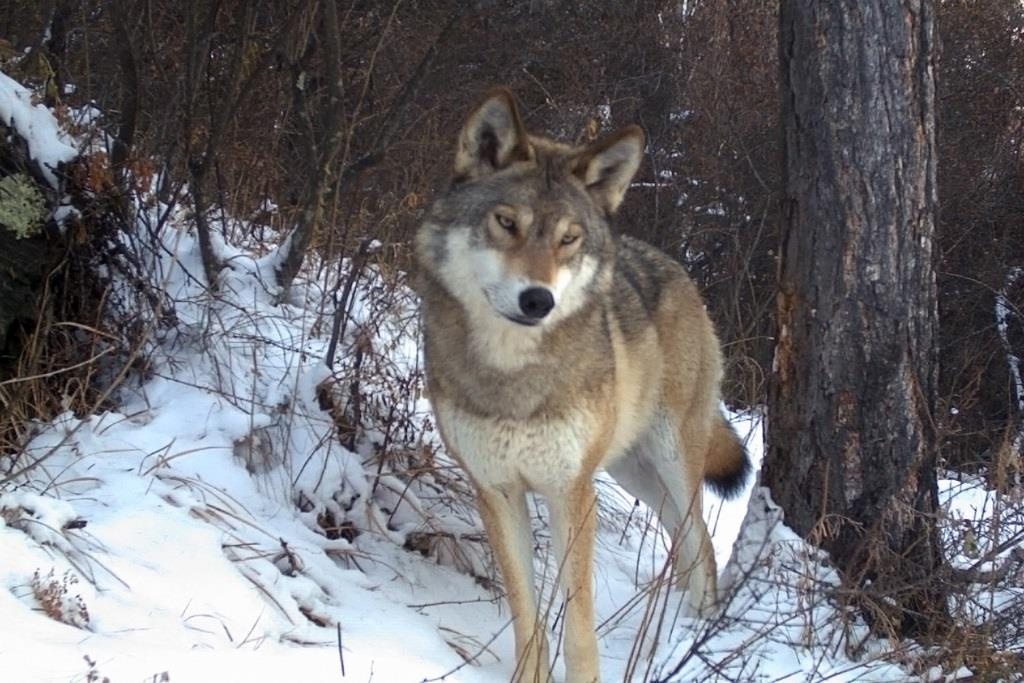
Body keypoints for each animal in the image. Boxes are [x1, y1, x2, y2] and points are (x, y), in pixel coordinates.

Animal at [415, 90, 753, 683]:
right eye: (507, 222)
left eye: (568, 239)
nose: (537, 300)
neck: (514, 378)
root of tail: (678, 269)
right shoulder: (498, 492)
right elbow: (528, 617)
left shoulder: (571, 493)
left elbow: (577, 627)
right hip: (632, 471)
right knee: (685, 540)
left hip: (670, 459)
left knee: (702, 541)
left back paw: (693, 633)